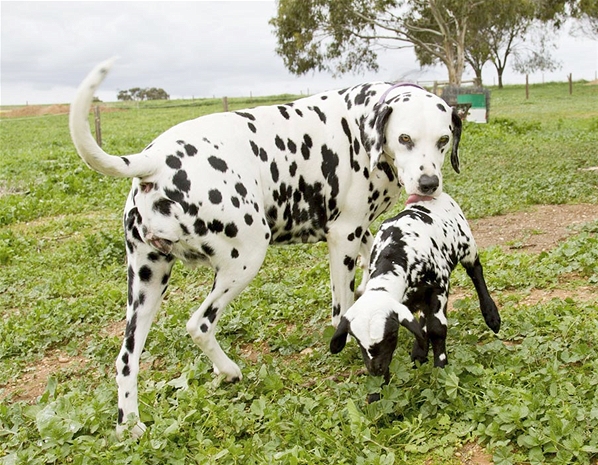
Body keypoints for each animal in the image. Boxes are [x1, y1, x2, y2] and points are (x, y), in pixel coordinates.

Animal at [69, 57, 464, 436]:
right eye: (405, 138)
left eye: (443, 140)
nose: (429, 183)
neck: (361, 125)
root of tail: (154, 159)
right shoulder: (344, 236)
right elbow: (342, 309)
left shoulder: (359, 233)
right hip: (245, 259)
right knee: (199, 324)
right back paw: (228, 370)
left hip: (147, 282)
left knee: (126, 358)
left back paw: (130, 423)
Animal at [330, 191, 504, 384]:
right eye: (358, 340)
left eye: (391, 335)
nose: (376, 369)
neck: (396, 255)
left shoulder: (439, 289)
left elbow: (437, 329)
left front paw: (441, 370)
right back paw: (419, 353)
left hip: (467, 246)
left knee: (476, 272)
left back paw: (491, 315)